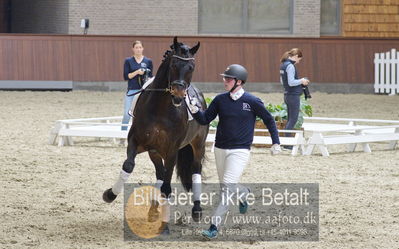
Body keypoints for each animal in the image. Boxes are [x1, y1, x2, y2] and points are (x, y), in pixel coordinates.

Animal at [102, 37, 209, 230]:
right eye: (173, 64)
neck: (161, 108)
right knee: (160, 174)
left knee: (195, 169)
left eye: (192, 67)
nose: (179, 94)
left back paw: (196, 210)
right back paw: (153, 209)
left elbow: (167, 186)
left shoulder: (172, 150)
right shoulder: (136, 141)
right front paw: (110, 194)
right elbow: (128, 166)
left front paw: (164, 225)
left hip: (198, 144)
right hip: (155, 152)